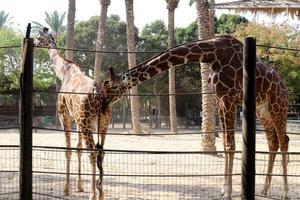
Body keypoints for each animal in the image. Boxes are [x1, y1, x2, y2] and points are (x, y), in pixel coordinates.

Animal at [34, 28, 109, 200]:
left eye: (38, 37)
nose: (34, 44)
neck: (64, 72)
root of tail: (98, 94)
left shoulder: (64, 115)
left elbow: (68, 150)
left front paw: (67, 189)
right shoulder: (77, 119)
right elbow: (78, 148)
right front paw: (79, 186)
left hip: (87, 123)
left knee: (92, 153)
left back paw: (93, 194)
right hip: (102, 124)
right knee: (101, 152)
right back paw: (100, 193)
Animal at [102, 35, 288, 199]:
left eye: (113, 86)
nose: (103, 103)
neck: (212, 54)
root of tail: (284, 86)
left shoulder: (228, 98)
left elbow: (230, 145)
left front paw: (228, 192)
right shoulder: (219, 99)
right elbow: (225, 144)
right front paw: (223, 190)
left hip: (278, 106)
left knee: (284, 140)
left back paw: (284, 192)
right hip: (262, 110)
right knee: (273, 142)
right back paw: (265, 189)